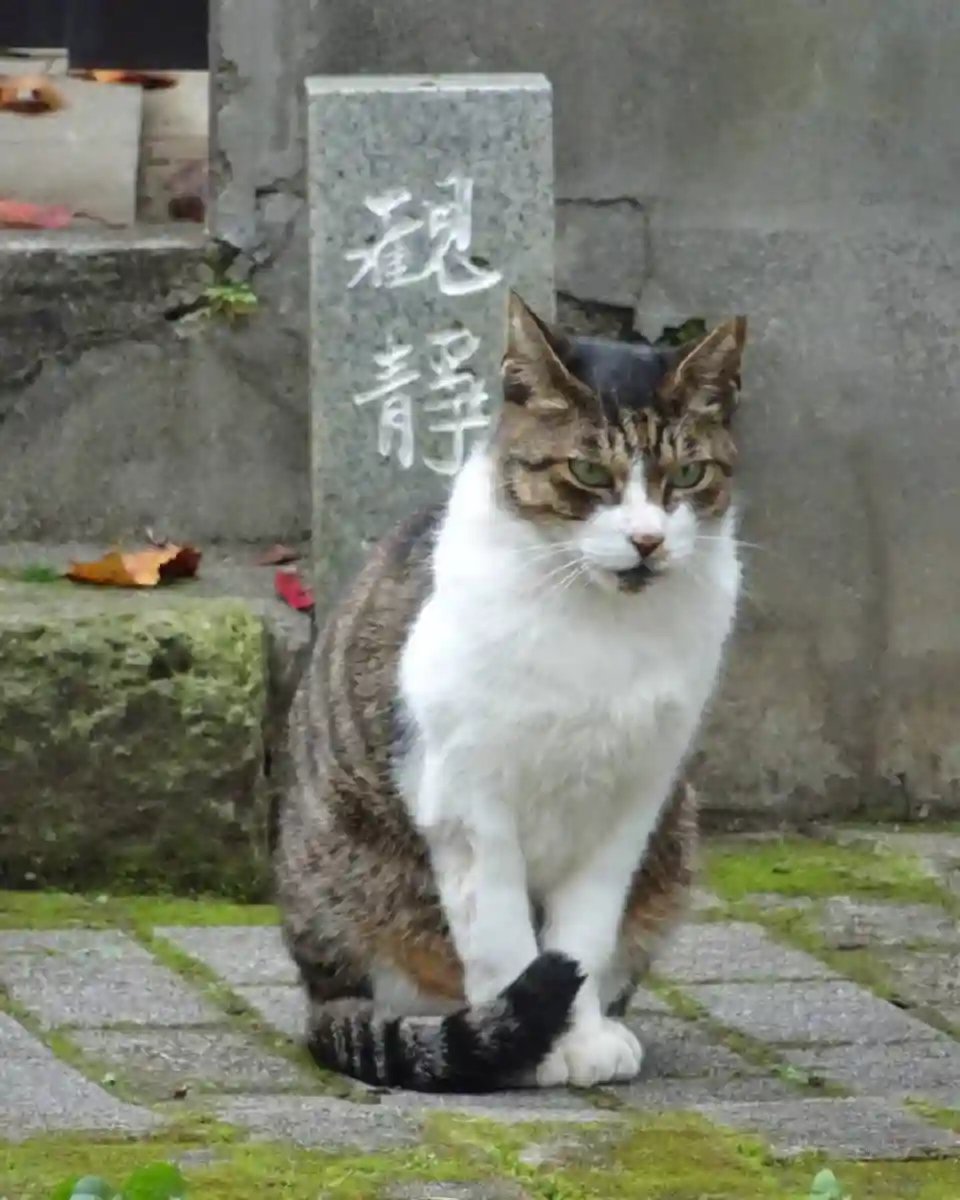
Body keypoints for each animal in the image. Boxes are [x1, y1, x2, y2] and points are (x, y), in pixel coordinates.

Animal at [274, 292, 747, 1093]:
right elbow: (501, 940)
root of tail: (319, 997)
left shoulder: (634, 799)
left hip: (674, 840)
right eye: (588, 471)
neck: (601, 627)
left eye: (687, 475)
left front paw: (578, 1036)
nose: (648, 540)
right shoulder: (466, 796)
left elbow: (584, 933)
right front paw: (535, 1045)